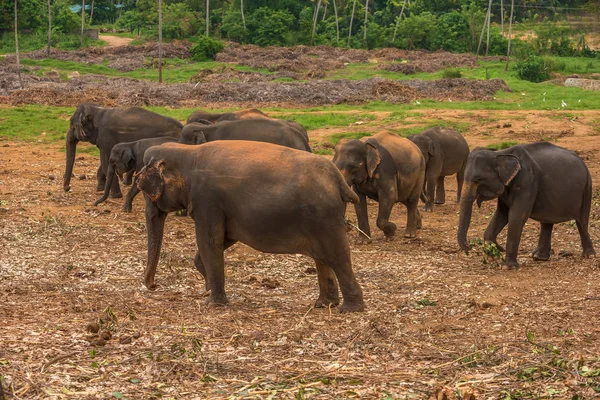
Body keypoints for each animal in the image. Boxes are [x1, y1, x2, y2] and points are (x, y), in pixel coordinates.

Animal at [137, 141, 366, 312]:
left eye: (143, 188)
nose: (153, 285)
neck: (186, 151)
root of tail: (337, 178)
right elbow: (224, 238)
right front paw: (208, 286)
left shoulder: (207, 200)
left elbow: (209, 241)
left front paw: (212, 302)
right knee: (322, 258)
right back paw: (324, 304)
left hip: (324, 217)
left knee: (338, 256)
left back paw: (350, 309)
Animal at [460, 141, 596, 268]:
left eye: (477, 180)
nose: (469, 246)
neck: (501, 153)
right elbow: (501, 214)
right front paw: (492, 255)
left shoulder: (527, 181)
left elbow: (516, 216)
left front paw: (507, 266)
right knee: (547, 222)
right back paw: (539, 257)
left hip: (587, 187)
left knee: (581, 221)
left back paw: (589, 255)